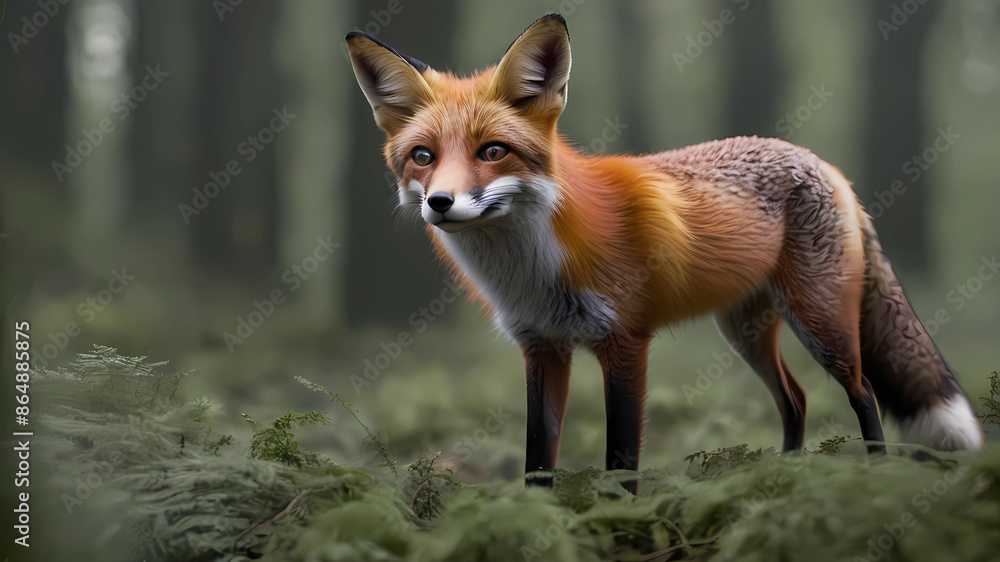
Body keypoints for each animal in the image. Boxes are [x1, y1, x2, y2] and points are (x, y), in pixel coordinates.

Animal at [346, 14, 983, 493]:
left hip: (821, 322)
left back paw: (872, 480)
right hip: (745, 331)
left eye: (493, 151)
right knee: (797, 400)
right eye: (423, 157)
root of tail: (820, 161)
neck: (532, 268)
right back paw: (782, 478)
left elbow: (621, 463)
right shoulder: (543, 347)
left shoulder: (625, 343)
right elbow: (536, 463)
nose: (441, 203)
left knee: (864, 393)